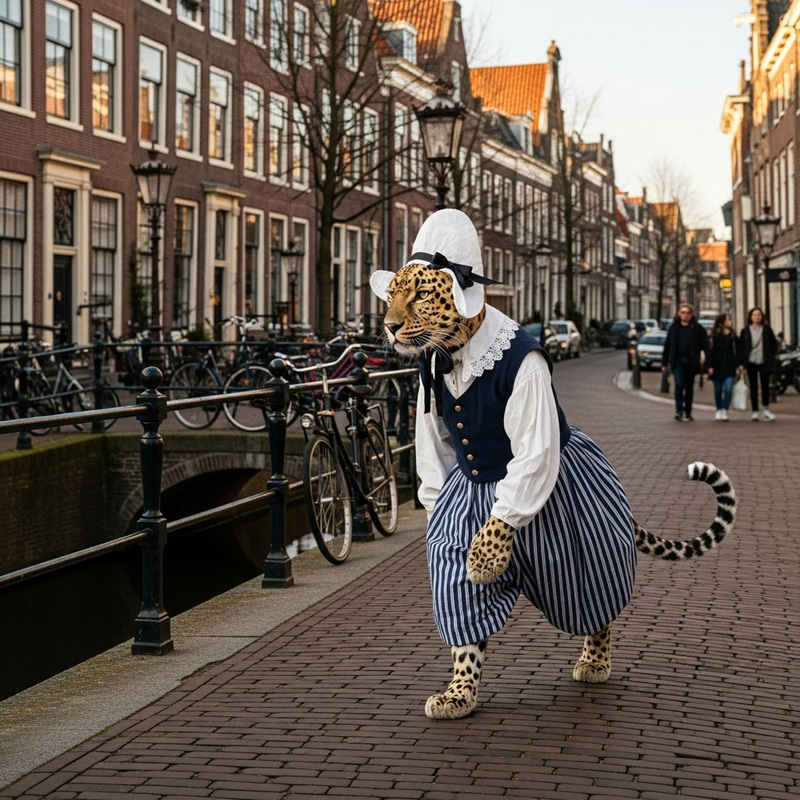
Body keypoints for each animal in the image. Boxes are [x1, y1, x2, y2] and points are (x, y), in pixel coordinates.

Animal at [382, 261, 737, 720]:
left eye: (422, 295)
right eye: (390, 294)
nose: (389, 326)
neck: (458, 351)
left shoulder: (530, 415)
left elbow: (518, 479)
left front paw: (485, 558)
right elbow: (464, 615)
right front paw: (459, 692)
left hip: (581, 561)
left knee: (595, 606)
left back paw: (596, 662)